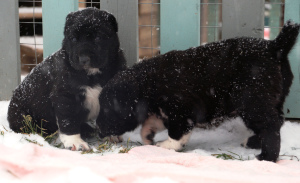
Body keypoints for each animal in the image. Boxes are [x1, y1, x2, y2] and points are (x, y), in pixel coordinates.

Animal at [7, 8, 125, 150]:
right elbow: (68, 120)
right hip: (22, 116)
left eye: (98, 38)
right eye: (73, 39)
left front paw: (111, 134)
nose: (83, 59)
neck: (92, 73)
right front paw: (75, 142)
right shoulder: (66, 96)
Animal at [97, 20, 298, 162]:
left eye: (108, 109)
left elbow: (177, 134)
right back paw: (254, 142)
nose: (98, 128)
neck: (147, 83)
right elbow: (151, 124)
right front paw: (148, 138)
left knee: (270, 126)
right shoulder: (163, 112)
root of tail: (275, 46)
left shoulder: (180, 110)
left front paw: (167, 146)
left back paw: (266, 157)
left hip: (251, 102)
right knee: (276, 122)